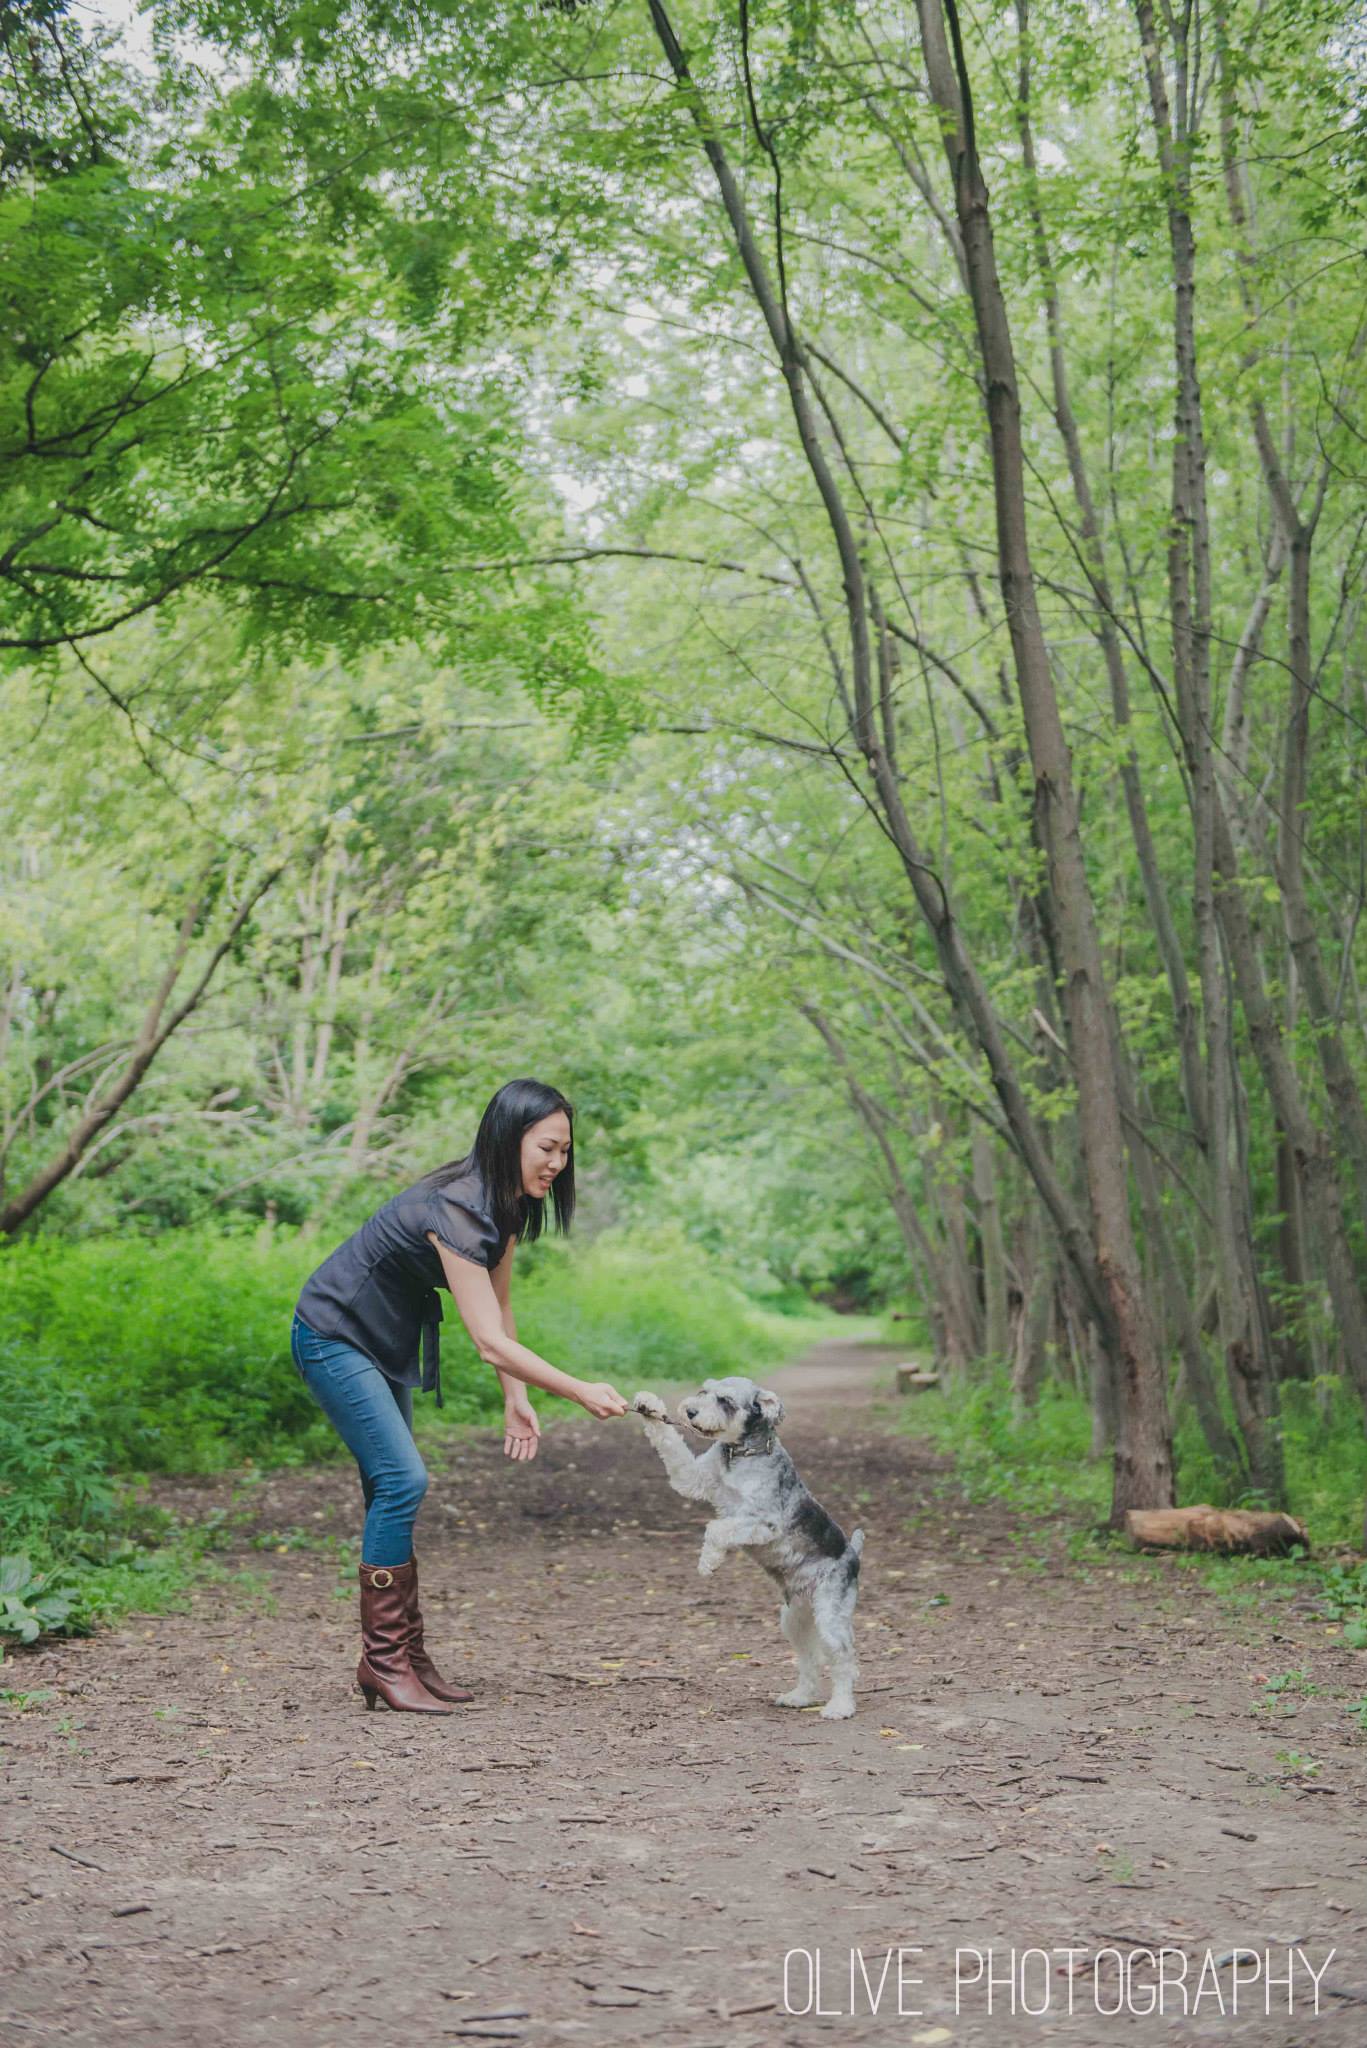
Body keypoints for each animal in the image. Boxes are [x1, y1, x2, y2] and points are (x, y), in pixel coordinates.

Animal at [631, 1384, 864, 1720]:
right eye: (704, 1389)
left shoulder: (763, 1521)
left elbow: (716, 1528)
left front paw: (709, 1562)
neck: (741, 1454)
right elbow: (671, 1446)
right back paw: (799, 1697)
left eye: (726, 1401)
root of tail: (853, 1554)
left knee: (844, 1660)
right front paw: (648, 1404)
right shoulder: (693, 1478)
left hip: (831, 1616)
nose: (690, 1412)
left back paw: (840, 1706)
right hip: (795, 1619)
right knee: (810, 1659)